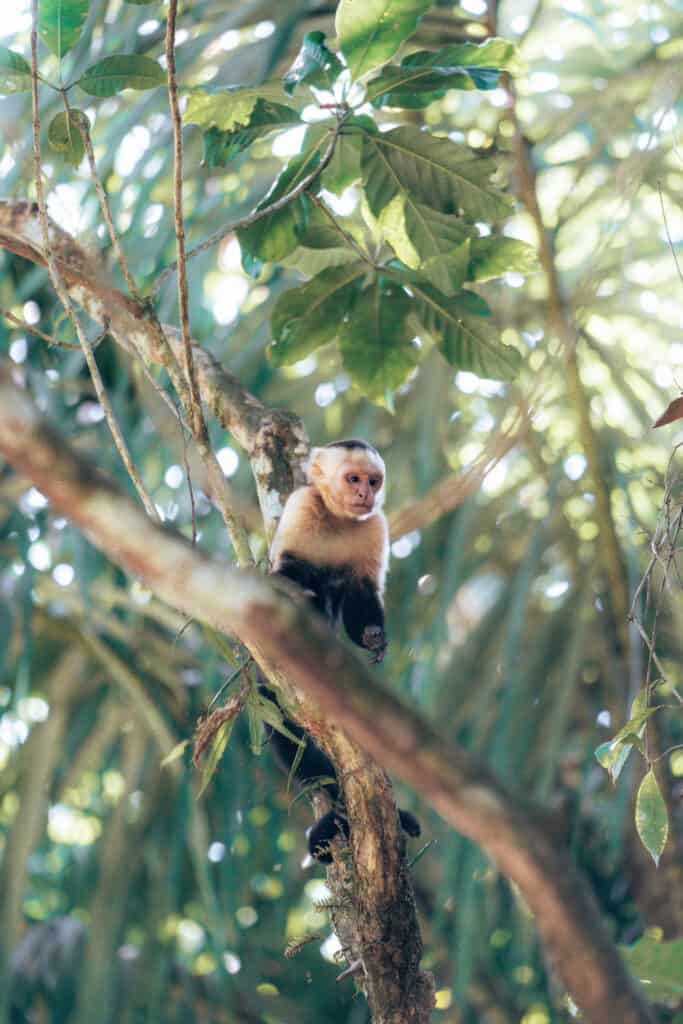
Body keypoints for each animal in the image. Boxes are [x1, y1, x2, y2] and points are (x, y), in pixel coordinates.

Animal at [266, 440, 417, 864]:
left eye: (372, 480)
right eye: (353, 479)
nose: (365, 493)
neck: (338, 519)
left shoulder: (374, 527)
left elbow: (361, 595)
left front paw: (373, 637)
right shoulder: (301, 505)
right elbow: (289, 566)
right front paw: (292, 586)